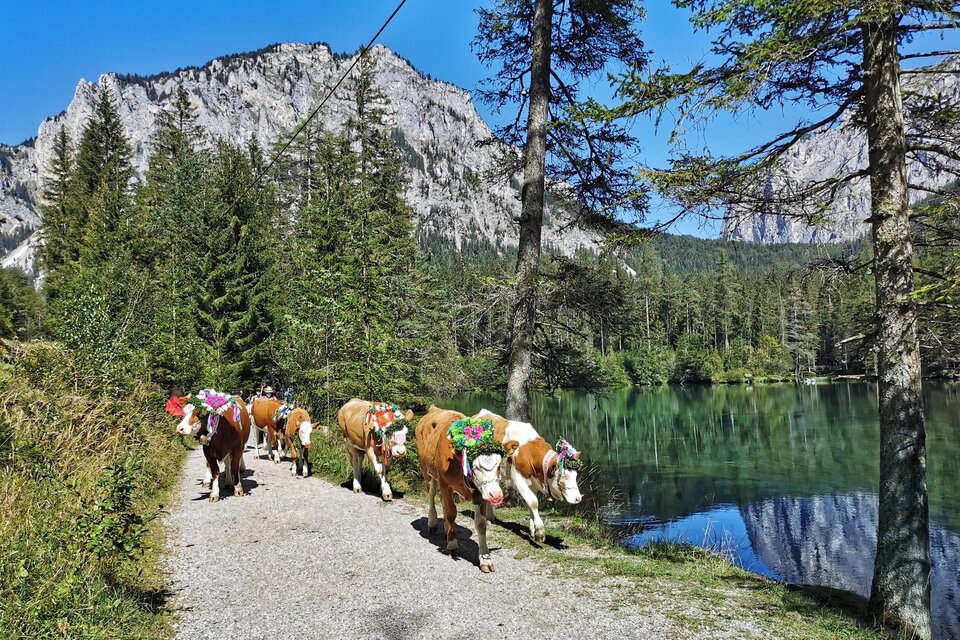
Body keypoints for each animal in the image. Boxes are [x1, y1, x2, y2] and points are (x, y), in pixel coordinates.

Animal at [416, 405, 519, 572]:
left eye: (499, 466)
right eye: (475, 467)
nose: (496, 495)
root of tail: (434, 408)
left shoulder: (481, 493)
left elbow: (481, 524)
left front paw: (485, 559)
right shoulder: (445, 483)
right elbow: (451, 513)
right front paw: (452, 545)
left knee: (443, 502)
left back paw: (446, 528)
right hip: (427, 470)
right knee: (431, 494)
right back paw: (433, 523)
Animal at [476, 409, 583, 543]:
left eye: (575, 476)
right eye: (563, 477)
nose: (578, 498)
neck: (527, 450)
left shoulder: (533, 483)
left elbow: (530, 503)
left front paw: (533, 530)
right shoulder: (518, 479)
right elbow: (533, 502)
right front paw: (540, 531)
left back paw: (490, 517)